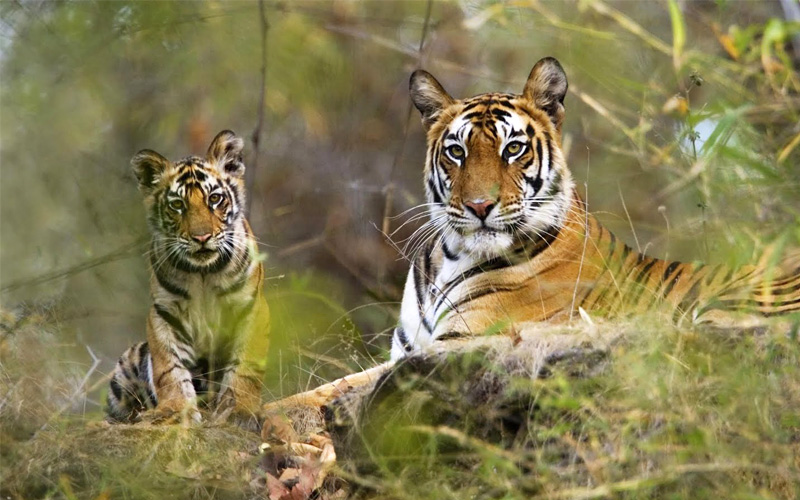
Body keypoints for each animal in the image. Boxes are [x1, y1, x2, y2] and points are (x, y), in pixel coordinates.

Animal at [107, 130, 270, 428]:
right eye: (177, 205)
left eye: (214, 199)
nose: (201, 237)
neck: (203, 273)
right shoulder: (164, 314)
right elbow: (169, 370)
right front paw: (176, 411)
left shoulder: (251, 309)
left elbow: (245, 368)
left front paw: (240, 412)